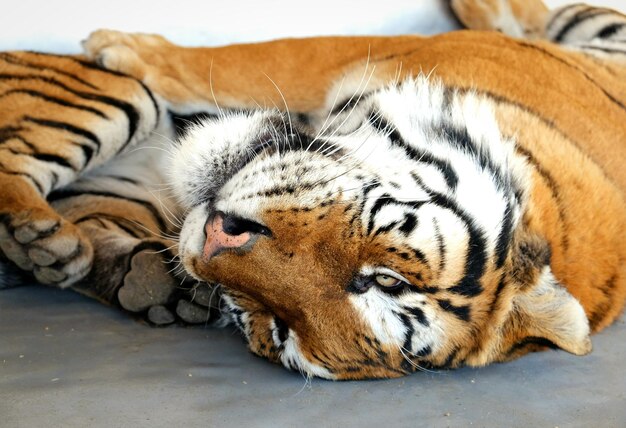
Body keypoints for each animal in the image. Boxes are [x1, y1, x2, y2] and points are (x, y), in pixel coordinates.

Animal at [1, 0, 624, 382]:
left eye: (276, 327)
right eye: (385, 279)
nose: (215, 236)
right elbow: (267, 53)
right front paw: (123, 44)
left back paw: (69, 254)